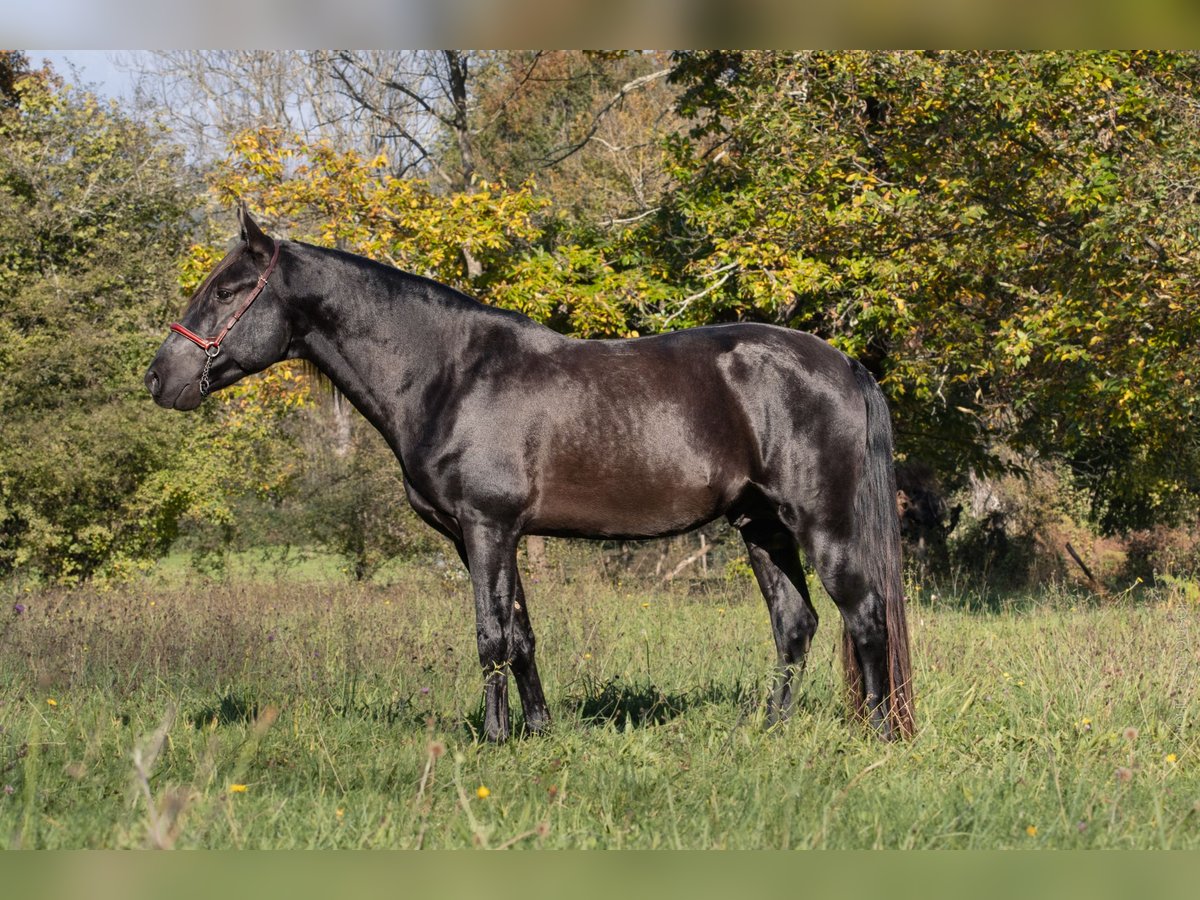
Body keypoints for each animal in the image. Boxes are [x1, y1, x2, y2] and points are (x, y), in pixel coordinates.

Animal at [145, 207, 912, 744]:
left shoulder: (487, 526)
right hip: (759, 525)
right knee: (796, 622)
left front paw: (494, 738)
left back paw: (878, 735)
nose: (158, 378)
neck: (450, 374)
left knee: (865, 615)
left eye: (229, 291)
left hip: (822, 523)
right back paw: (769, 729)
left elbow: (490, 635)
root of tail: (842, 362)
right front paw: (538, 730)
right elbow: (520, 633)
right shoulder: (482, 535)